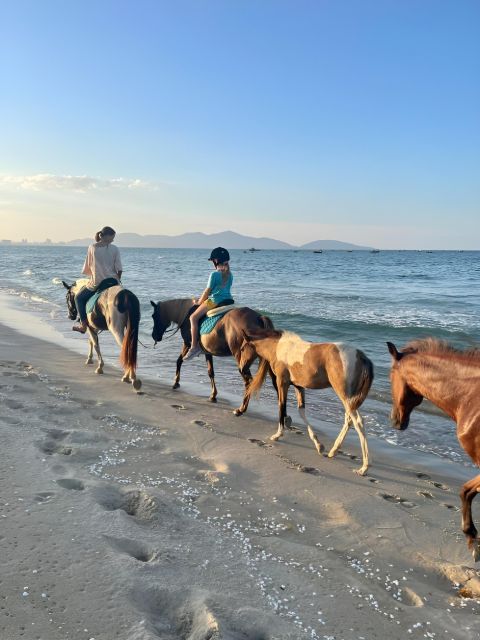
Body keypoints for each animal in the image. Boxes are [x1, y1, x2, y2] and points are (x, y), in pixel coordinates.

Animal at [240, 329, 374, 475]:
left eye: (242, 348)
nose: (242, 368)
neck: (278, 348)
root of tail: (360, 355)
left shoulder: (282, 383)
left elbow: (281, 406)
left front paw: (277, 435)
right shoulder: (298, 386)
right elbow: (301, 411)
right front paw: (319, 445)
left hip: (345, 395)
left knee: (357, 422)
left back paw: (364, 467)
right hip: (350, 398)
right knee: (349, 420)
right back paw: (333, 451)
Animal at [387, 338, 480, 561]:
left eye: (390, 376)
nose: (393, 420)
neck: (470, 396)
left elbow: (465, 491)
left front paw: (472, 540)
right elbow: (467, 492)